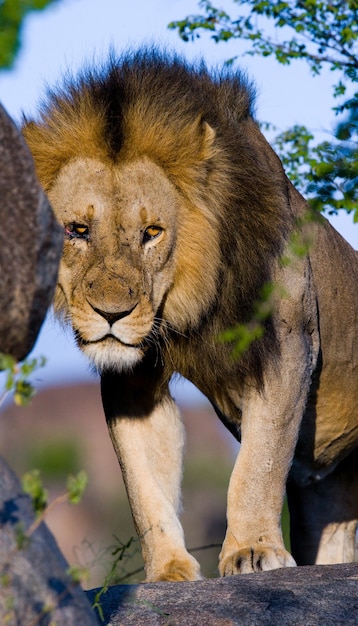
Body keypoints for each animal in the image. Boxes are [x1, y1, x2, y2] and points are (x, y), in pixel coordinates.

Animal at [21, 48, 358, 580]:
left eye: (152, 232)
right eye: (77, 229)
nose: (111, 314)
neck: (191, 306)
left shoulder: (288, 346)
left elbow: (257, 466)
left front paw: (252, 550)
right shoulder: (134, 378)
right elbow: (144, 481)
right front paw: (167, 570)